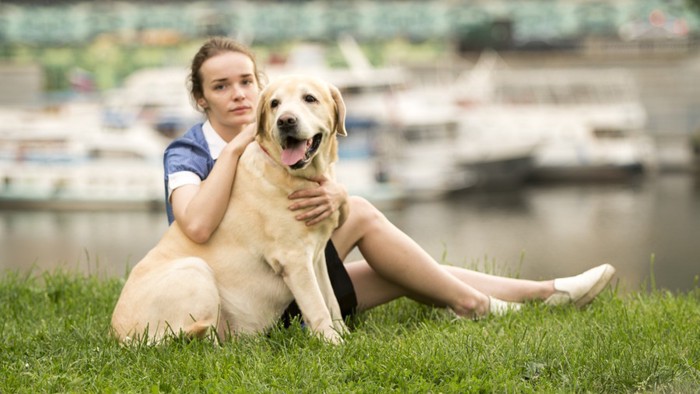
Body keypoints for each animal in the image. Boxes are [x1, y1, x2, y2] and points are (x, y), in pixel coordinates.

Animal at [113, 75, 350, 344]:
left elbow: (331, 301)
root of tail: (120, 336)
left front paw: (344, 334)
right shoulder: (294, 258)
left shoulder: (317, 255)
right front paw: (333, 342)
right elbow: (318, 306)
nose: (285, 121)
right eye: (274, 104)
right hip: (196, 269)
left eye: (309, 98)